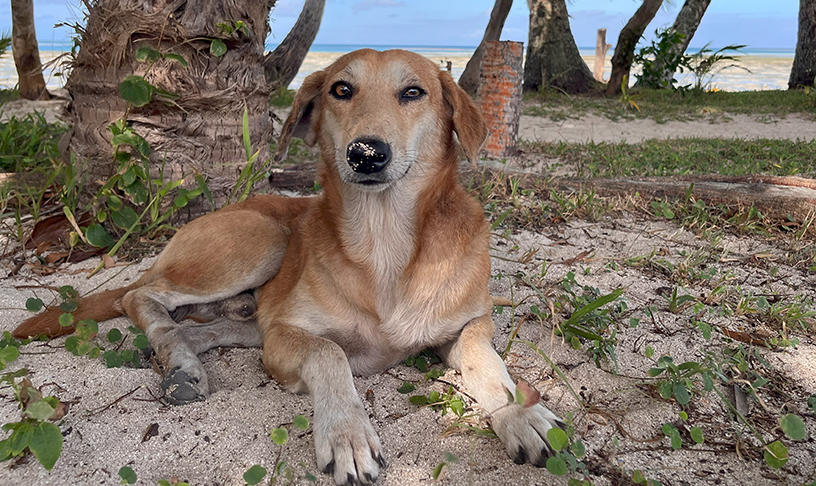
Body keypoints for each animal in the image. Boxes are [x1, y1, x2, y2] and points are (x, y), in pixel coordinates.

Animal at [14, 48, 560, 482]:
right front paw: (346, 434)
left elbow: (485, 360)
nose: (365, 153)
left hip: (252, 304)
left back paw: (183, 361)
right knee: (139, 295)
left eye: (413, 92)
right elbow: (329, 353)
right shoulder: (285, 339)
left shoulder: (471, 322)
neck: (383, 240)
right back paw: (177, 354)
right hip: (263, 240)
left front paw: (522, 413)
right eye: (342, 89)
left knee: (197, 327)